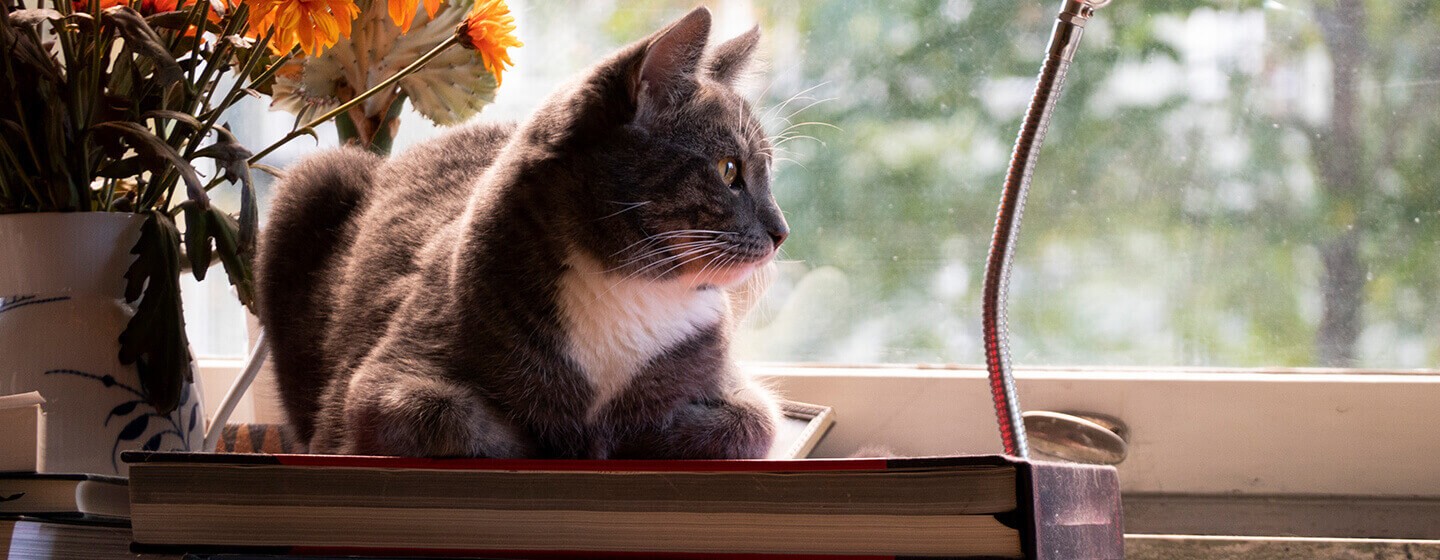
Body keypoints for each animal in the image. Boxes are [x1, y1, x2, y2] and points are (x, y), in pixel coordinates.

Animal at [263, 5, 794, 457]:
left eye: (768, 170)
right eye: (729, 171)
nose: (782, 232)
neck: (629, 287)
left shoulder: (732, 384)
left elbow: (753, 422)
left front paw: (628, 434)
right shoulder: (379, 384)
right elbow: (446, 415)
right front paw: (554, 439)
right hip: (312, 180)